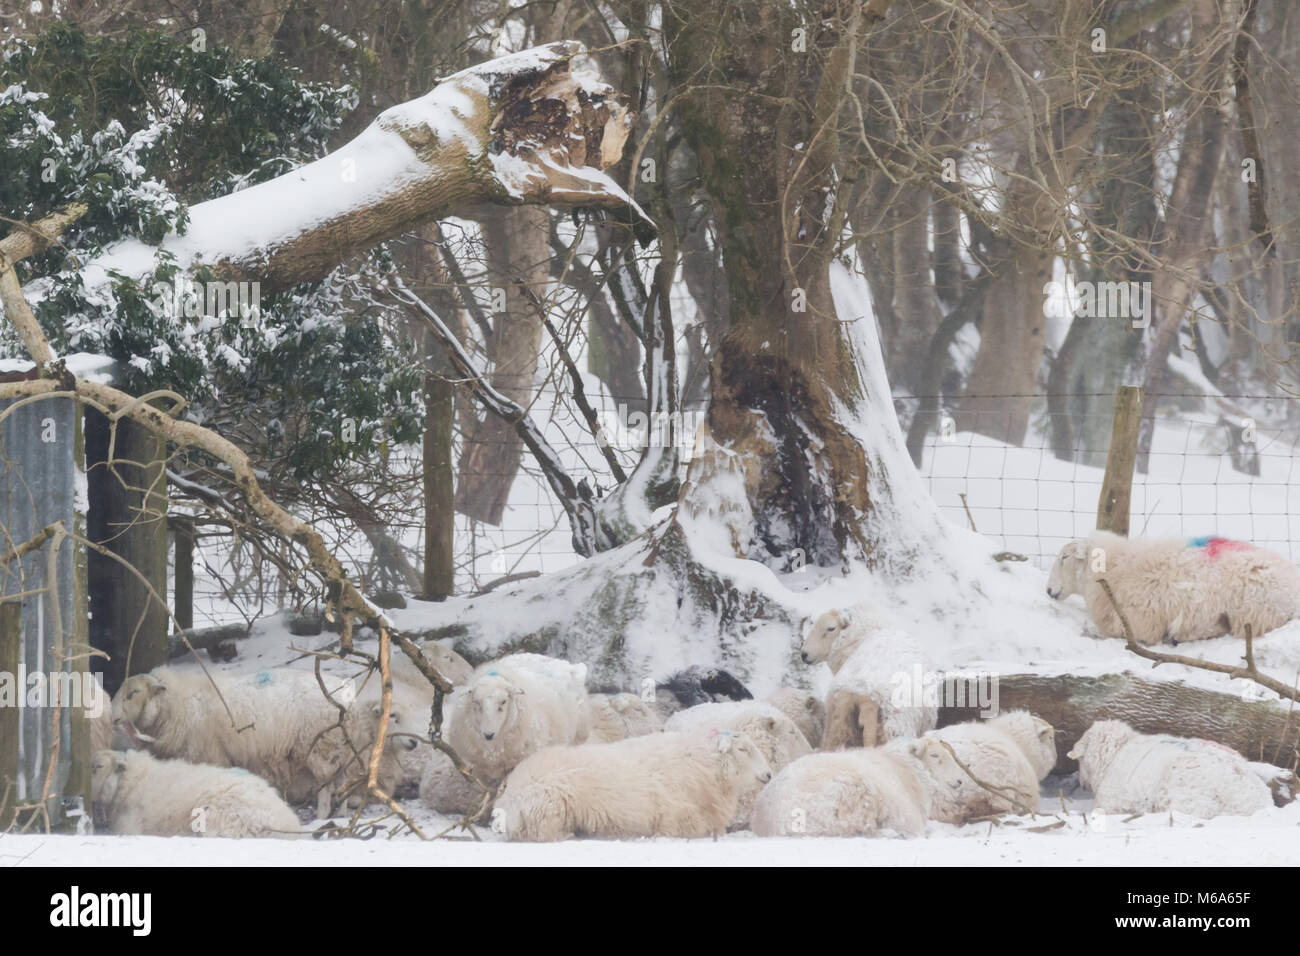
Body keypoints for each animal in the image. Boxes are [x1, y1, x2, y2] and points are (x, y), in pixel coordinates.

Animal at [444, 653, 590, 786]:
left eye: (503, 701)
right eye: (476, 702)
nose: (488, 734)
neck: (494, 750)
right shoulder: (482, 769)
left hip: (578, 735)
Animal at [497, 730, 772, 841]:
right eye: (743, 749)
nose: (769, 774)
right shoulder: (676, 817)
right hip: (547, 808)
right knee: (540, 834)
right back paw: (569, 835)